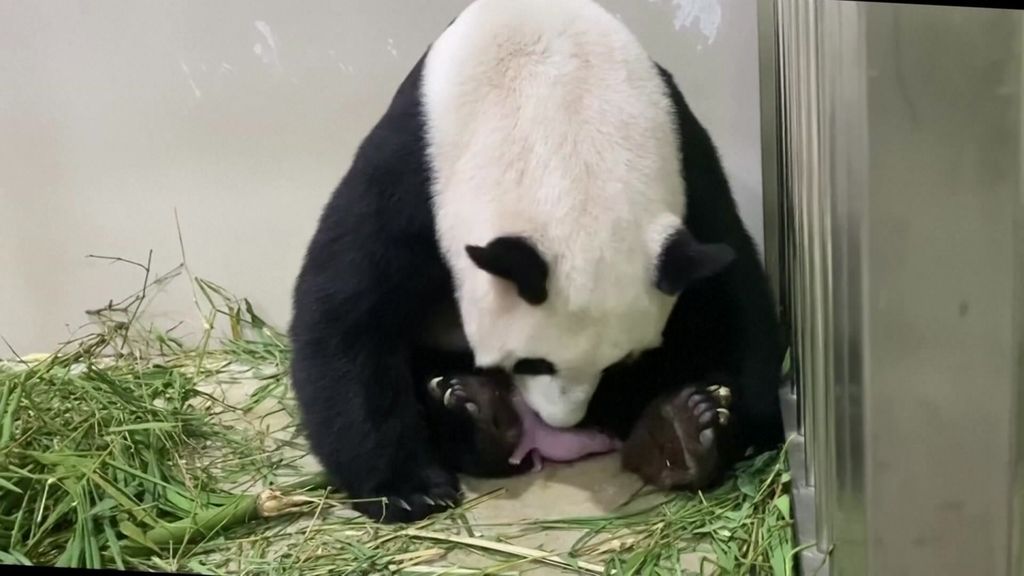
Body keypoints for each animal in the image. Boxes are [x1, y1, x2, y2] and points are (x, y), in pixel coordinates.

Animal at [290, 0, 784, 523]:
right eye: (531, 362)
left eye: (621, 359)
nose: (563, 419)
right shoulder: (417, 160)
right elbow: (348, 311)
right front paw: (408, 489)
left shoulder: (682, 147)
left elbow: (729, 288)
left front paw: (736, 417)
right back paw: (476, 414)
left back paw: (677, 432)